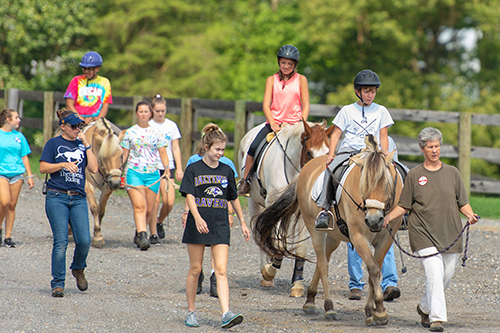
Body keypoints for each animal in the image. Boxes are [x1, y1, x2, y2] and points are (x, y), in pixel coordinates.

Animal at [83, 118, 125, 246]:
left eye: (121, 155)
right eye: (104, 156)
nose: (116, 183)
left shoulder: (107, 187)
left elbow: (101, 210)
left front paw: (98, 233)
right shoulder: (87, 185)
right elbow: (95, 208)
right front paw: (97, 237)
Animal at [237, 120, 332, 296]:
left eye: (328, 152)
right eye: (309, 153)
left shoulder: (302, 212)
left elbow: (300, 248)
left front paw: (297, 285)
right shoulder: (272, 205)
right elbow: (277, 243)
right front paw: (269, 271)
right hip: (253, 202)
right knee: (259, 234)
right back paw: (265, 272)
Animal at [254, 134, 402, 324]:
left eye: (386, 185)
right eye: (363, 185)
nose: (374, 220)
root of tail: (306, 168)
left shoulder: (386, 240)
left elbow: (373, 271)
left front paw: (371, 311)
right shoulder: (358, 237)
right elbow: (374, 269)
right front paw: (380, 311)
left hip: (334, 237)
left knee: (322, 259)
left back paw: (310, 300)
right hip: (314, 229)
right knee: (323, 265)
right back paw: (329, 307)